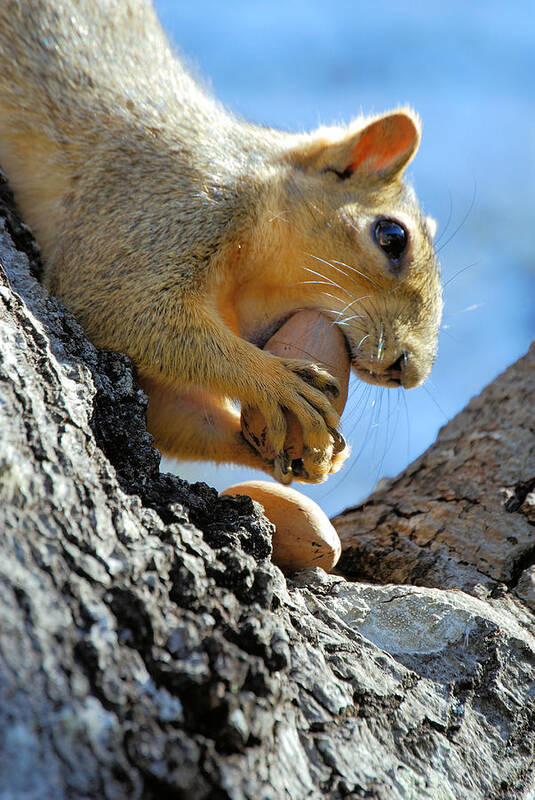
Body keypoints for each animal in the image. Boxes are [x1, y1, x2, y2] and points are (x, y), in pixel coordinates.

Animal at [0, 0, 444, 484]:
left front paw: (313, 458)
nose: (409, 371)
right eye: (392, 237)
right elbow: (123, 305)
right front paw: (275, 380)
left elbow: (170, 413)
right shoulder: (156, 207)